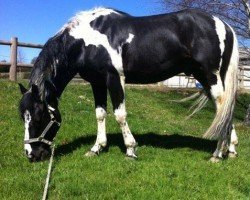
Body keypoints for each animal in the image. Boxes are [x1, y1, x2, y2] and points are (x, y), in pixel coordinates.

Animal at [19, 7, 238, 162]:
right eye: (22, 117)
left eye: (39, 117)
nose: (31, 154)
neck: (86, 41)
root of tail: (224, 25)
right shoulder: (97, 83)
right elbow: (100, 114)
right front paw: (96, 148)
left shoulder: (114, 78)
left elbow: (120, 114)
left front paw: (131, 150)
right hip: (204, 77)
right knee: (224, 110)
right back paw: (231, 149)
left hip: (210, 76)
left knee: (222, 108)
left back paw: (217, 154)